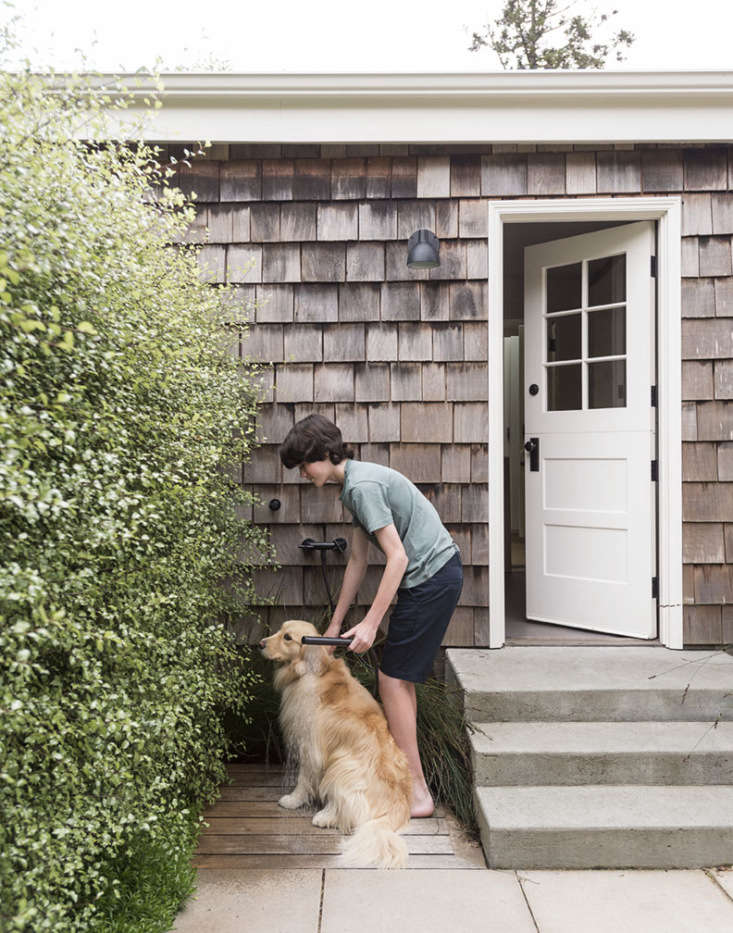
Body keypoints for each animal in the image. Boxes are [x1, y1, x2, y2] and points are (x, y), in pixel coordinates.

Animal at [260, 620, 414, 868]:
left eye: (287, 637)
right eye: (279, 630)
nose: (261, 643)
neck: (310, 671)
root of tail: (397, 808)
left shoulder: (309, 745)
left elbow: (303, 779)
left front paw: (293, 800)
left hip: (343, 764)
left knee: (350, 812)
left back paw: (325, 817)